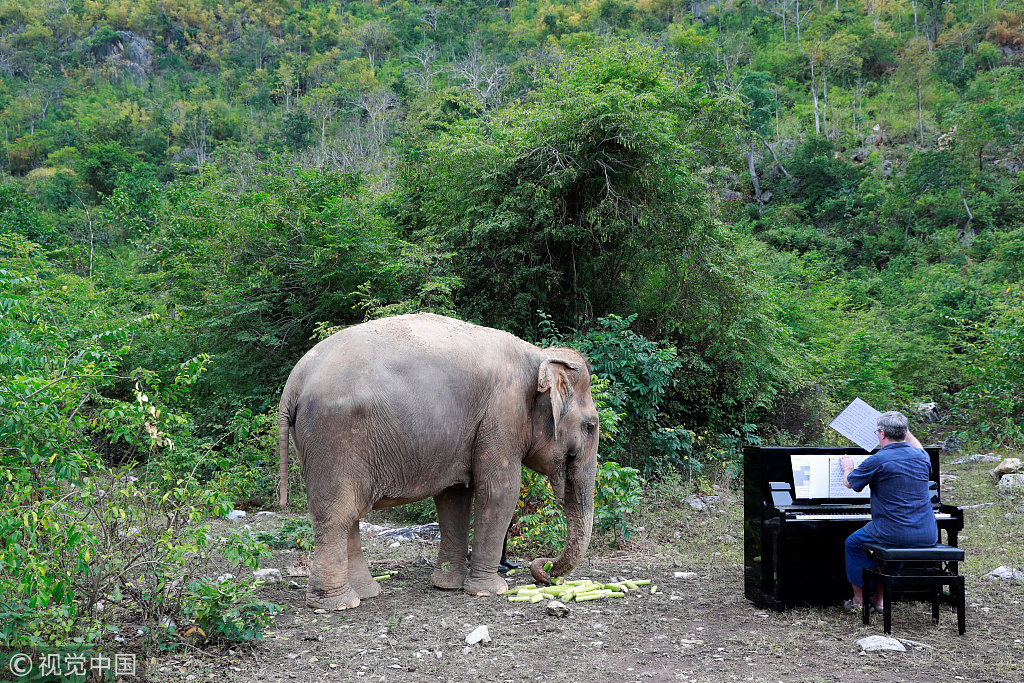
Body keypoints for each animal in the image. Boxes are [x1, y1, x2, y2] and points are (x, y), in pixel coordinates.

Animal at [280, 313, 598, 610]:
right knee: (337, 515)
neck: (539, 355)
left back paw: (366, 593)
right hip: (334, 436)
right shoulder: (502, 415)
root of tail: (294, 383)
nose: (545, 572)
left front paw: (447, 586)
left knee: (350, 515)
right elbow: (499, 492)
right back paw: (339, 603)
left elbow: (453, 497)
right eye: (590, 426)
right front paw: (490, 591)